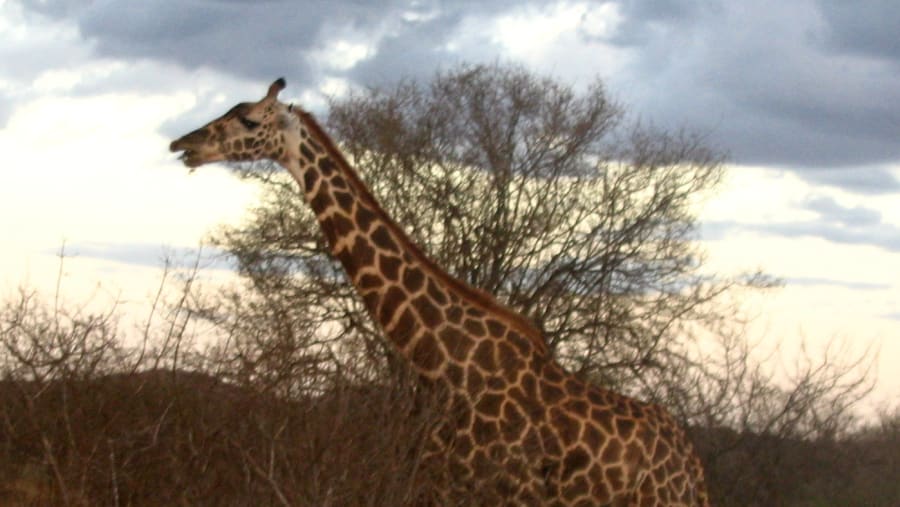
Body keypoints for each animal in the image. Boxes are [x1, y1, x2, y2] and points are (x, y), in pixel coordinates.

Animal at [170, 78, 710, 506]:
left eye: (246, 118)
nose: (182, 144)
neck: (445, 363)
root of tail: (693, 468)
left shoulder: (483, 490)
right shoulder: (440, 482)